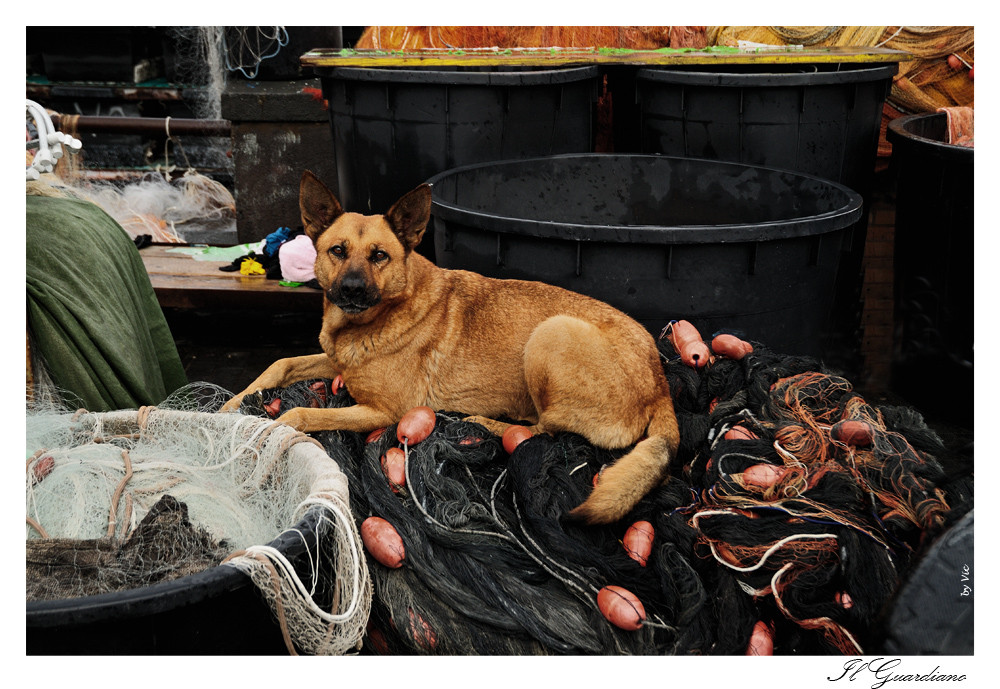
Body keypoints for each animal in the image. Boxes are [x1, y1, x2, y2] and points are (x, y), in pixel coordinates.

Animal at [221, 171, 680, 520]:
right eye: (337, 250)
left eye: (379, 256)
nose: (351, 290)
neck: (372, 319)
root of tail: (660, 382)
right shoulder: (336, 363)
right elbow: (280, 364)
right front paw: (230, 405)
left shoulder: (386, 411)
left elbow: (298, 414)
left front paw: (258, 442)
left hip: (551, 332)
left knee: (543, 430)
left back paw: (486, 423)